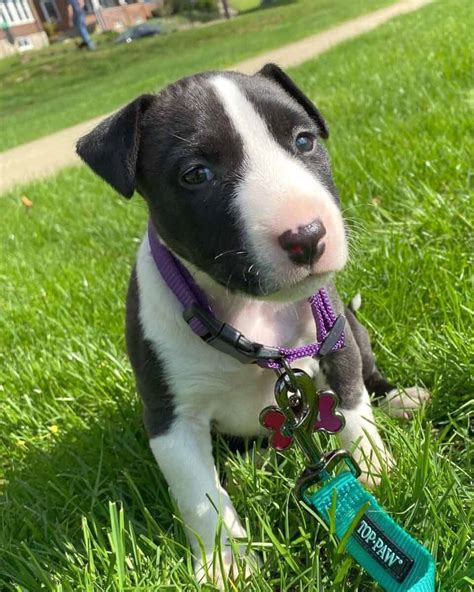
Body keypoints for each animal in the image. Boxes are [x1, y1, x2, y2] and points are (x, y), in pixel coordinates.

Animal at [77, 66, 430, 588]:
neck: (248, 311)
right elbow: (200, 496)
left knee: (370, 376)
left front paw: (373, 471)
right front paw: (225, 564)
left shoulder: (336, 342)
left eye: (304, 141)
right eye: (195, 174)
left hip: (355, 327)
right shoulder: (171, 421)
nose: (307, 236)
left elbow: (353, 412)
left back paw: (400, 399)